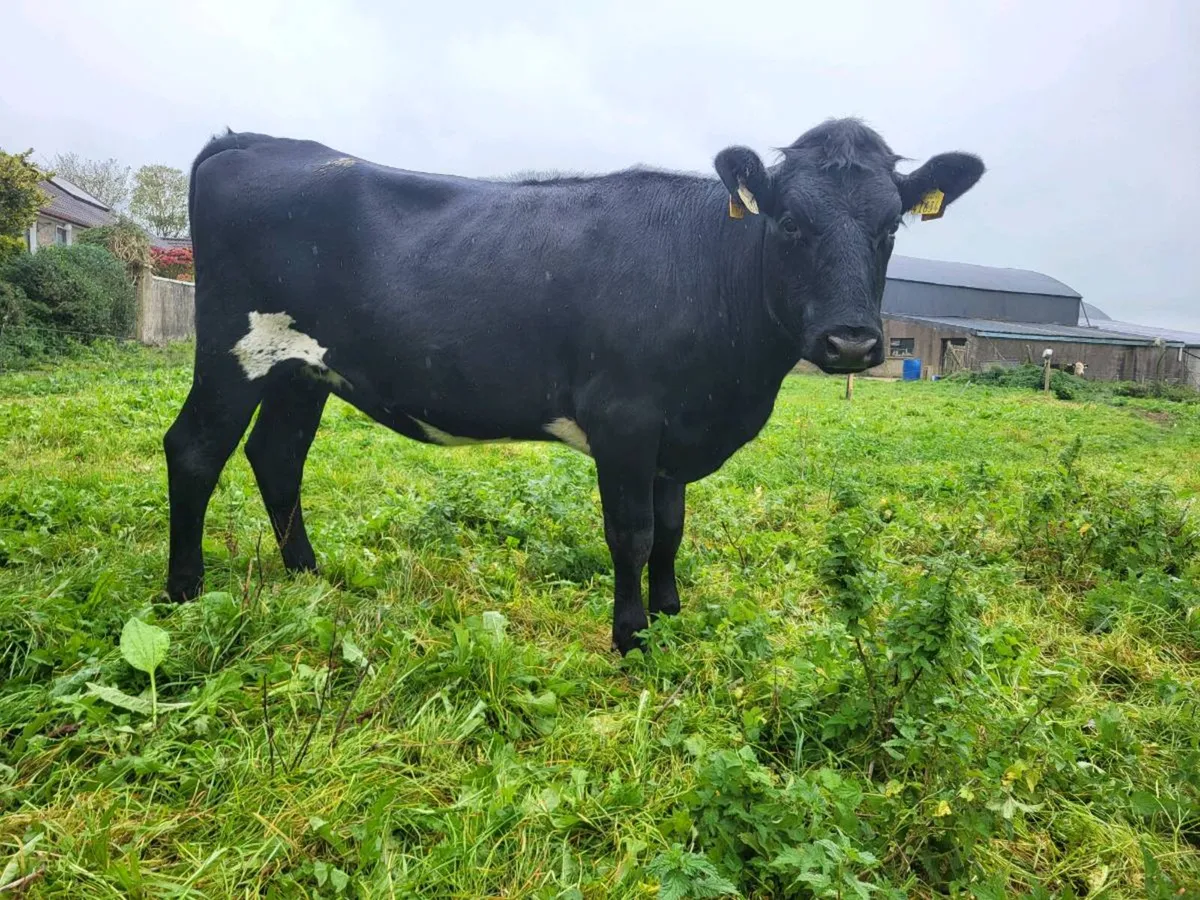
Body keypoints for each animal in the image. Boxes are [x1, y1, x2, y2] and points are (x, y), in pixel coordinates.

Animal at [163, 118, 984, 654]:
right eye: (787, 223)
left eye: (890, 228)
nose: (851, 342)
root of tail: (253, 140)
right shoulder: (625, 419)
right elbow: (633, 532)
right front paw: (631, 636)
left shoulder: (673, 433)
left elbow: (672, 530)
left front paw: (672, 614)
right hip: (234, 351)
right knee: (195, 450)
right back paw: (183, 593)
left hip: (301, 368)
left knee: (277, 457)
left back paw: (310, 575)